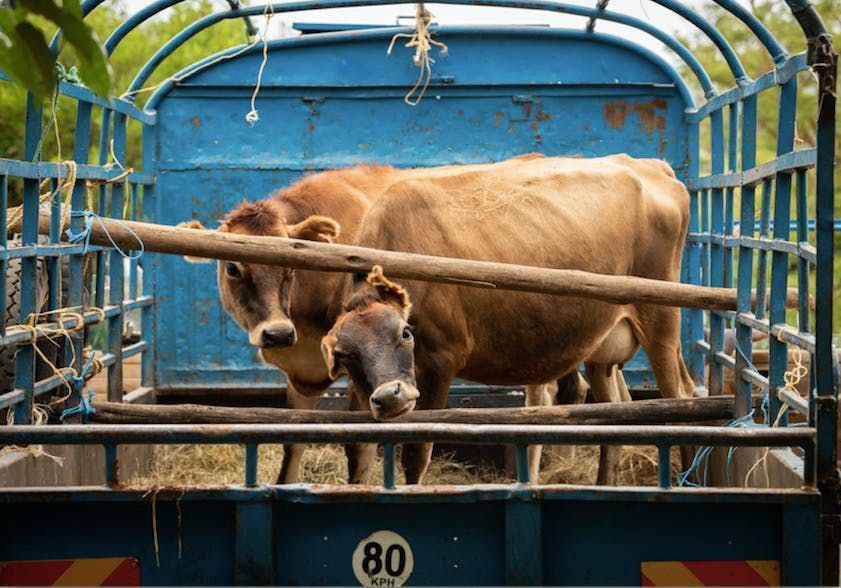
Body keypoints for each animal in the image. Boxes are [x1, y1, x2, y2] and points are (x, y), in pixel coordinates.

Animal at [322, 154, 696, 484]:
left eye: (405, 333)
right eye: (345, 355)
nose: (390, 396)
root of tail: (647, 165)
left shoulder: (441, 361)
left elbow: (416, 454)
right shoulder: (362, 386)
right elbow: (358, 451)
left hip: (661, 321)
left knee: (681, 400)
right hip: (603, 348)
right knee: (617, 413)